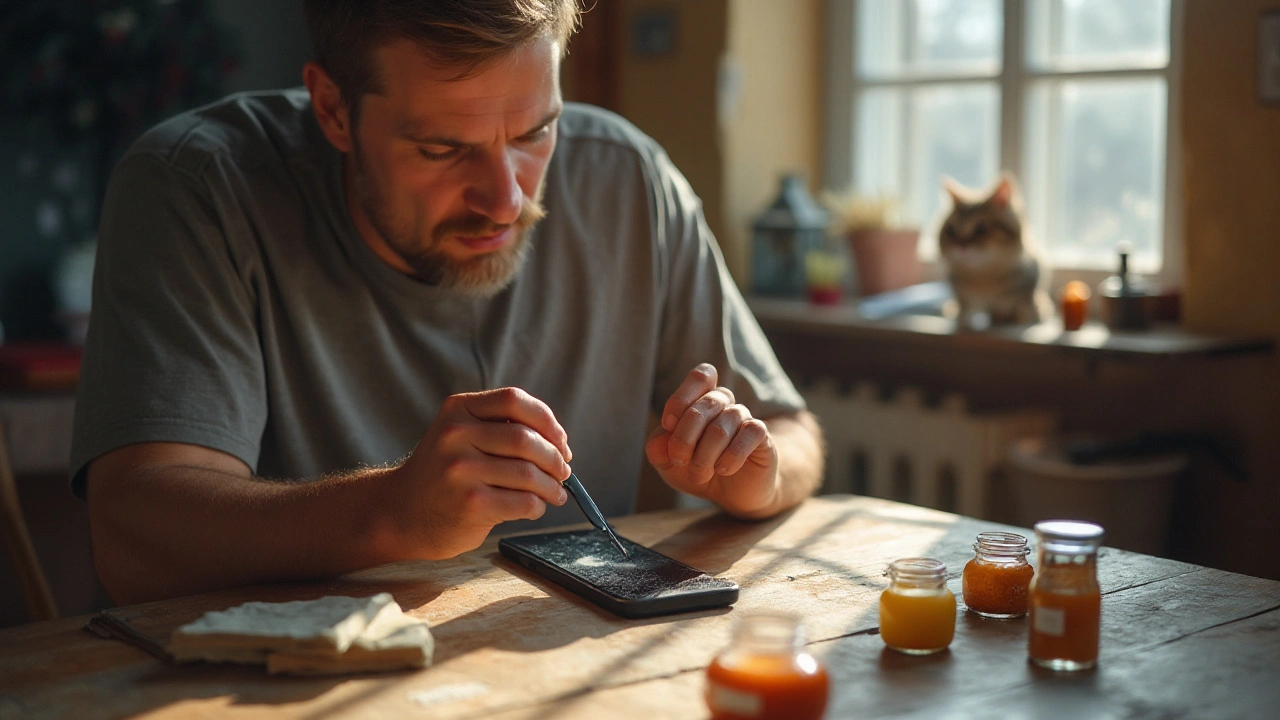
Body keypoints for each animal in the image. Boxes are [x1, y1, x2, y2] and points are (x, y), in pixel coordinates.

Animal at [942, 172, 1049, 330]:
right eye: (950, 230)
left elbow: (1023, 307)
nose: (960, 245)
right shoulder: (962, 295)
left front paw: (1022, 315)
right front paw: (962, 320)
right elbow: (965, 309)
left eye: (981, 229)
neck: (984, 277)